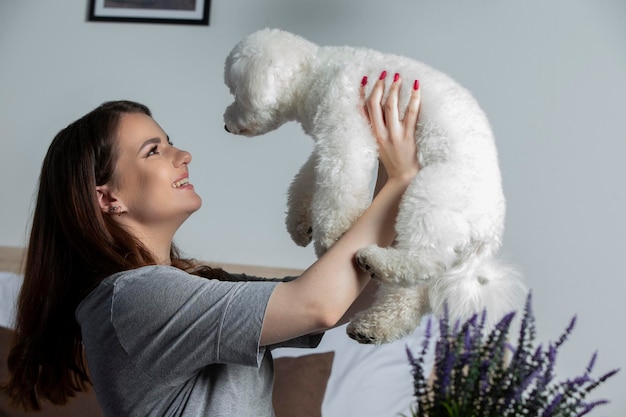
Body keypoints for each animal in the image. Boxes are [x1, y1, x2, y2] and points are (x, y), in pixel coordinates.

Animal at [222, 27, 524, 342]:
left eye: (235, 91)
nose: (225, 124)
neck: (316, 71)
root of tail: (490, 232)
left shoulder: (346, 135)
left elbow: (338, 188)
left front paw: (331, 238)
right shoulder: (327, 143)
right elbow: (307, 178)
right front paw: (299, 223)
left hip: (430, 196)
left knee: (422, 263)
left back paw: (376, 263)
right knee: (411, 293)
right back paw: (374, 326)